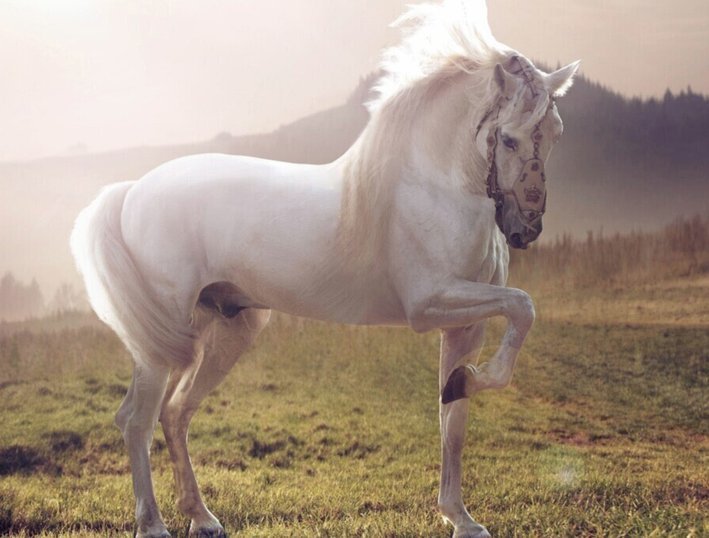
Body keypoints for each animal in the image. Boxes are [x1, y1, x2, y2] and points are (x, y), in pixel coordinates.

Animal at [71, 1, 579, 536]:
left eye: (555, 133)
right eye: (509, 139)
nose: (526, 228)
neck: (435, 186)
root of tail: (132, 190)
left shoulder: (465, 325)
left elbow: (454, 424)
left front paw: (460, 516)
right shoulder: (431, 304)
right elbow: (523, 308)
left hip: (228, 331)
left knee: (175, 414)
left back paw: (203, 518)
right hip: (161, 343)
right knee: (137, 419)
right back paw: (152, 523)